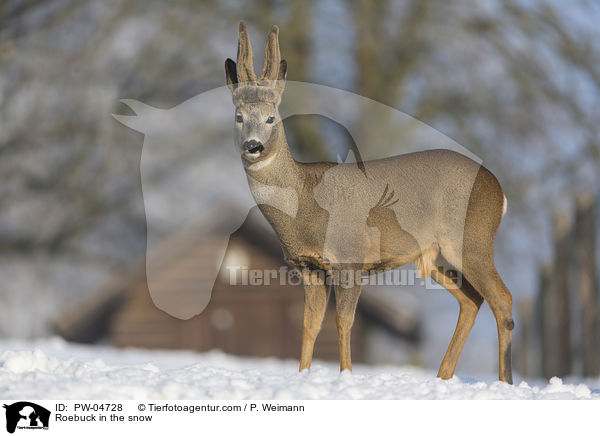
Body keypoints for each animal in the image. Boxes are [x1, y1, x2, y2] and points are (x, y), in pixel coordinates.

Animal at [223, 22, 512, 384]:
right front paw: (303, 375)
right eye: (238, 116)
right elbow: (309, 324)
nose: (253, 146)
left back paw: (504, 382)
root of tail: (498, 190)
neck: (304, 200)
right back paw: (443, 377)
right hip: (435, 257)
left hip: (472, 239)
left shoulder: (350, 258)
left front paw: (345, 375)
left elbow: (343, 321)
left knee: (502, 298)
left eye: (271, 118)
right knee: (472, 301)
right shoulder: (309, 267)